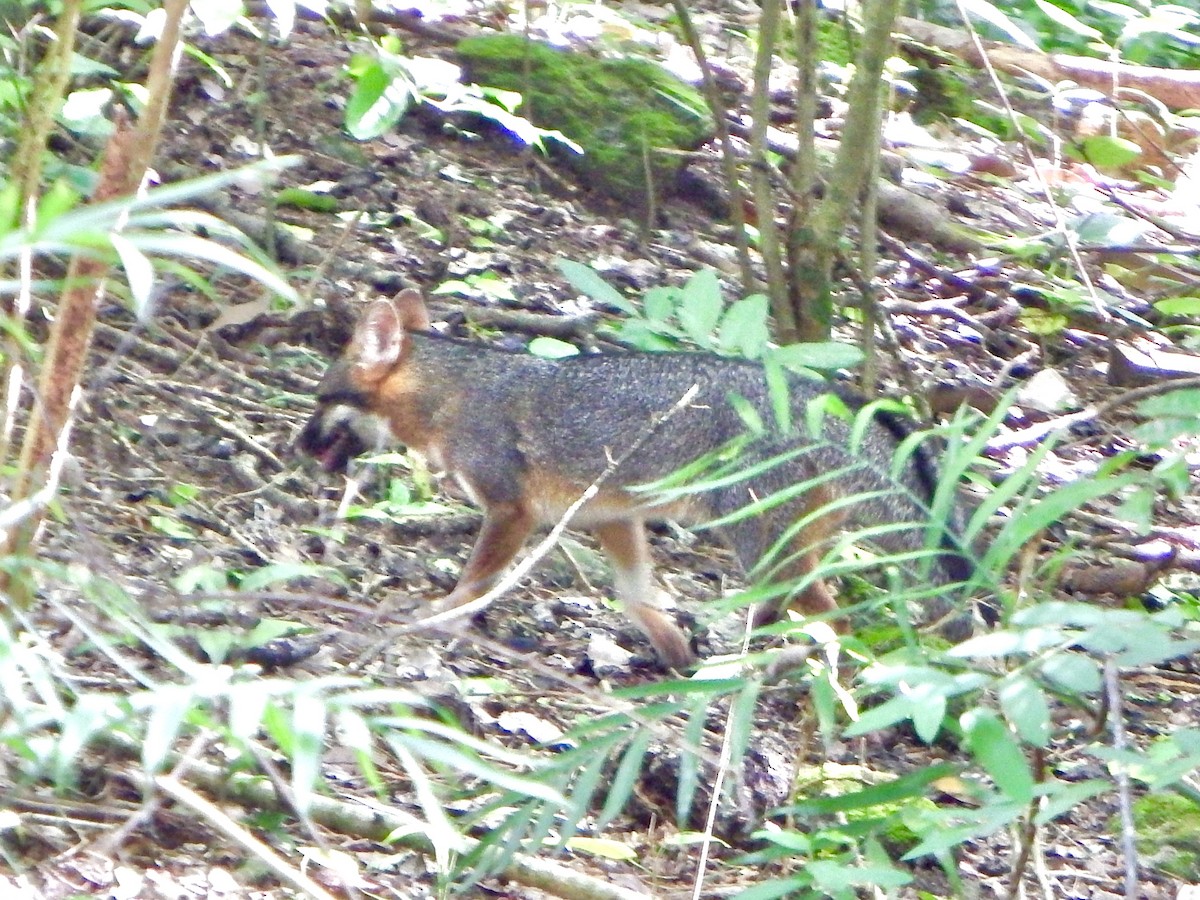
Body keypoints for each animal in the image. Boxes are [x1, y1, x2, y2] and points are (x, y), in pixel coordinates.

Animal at [297, 288, 976, 670]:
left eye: (320, 399)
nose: (298, 445)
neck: (458, 391)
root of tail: (820, 394)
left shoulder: (511, 510)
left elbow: (476, 582)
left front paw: (439, 618)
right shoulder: (612, 517)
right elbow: (632, 595)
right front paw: (671, 649)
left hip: (761, 548)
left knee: (838, 620)